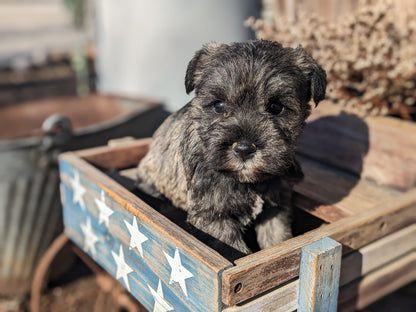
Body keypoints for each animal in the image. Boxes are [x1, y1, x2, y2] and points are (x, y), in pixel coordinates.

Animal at [136, 39, 324, 255]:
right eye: (219, 105)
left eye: (276, 107)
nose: (243, 149)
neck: (247, 182)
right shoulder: (215, 218)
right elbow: (235, 251)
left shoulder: (276, 206)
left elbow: (277, 238)